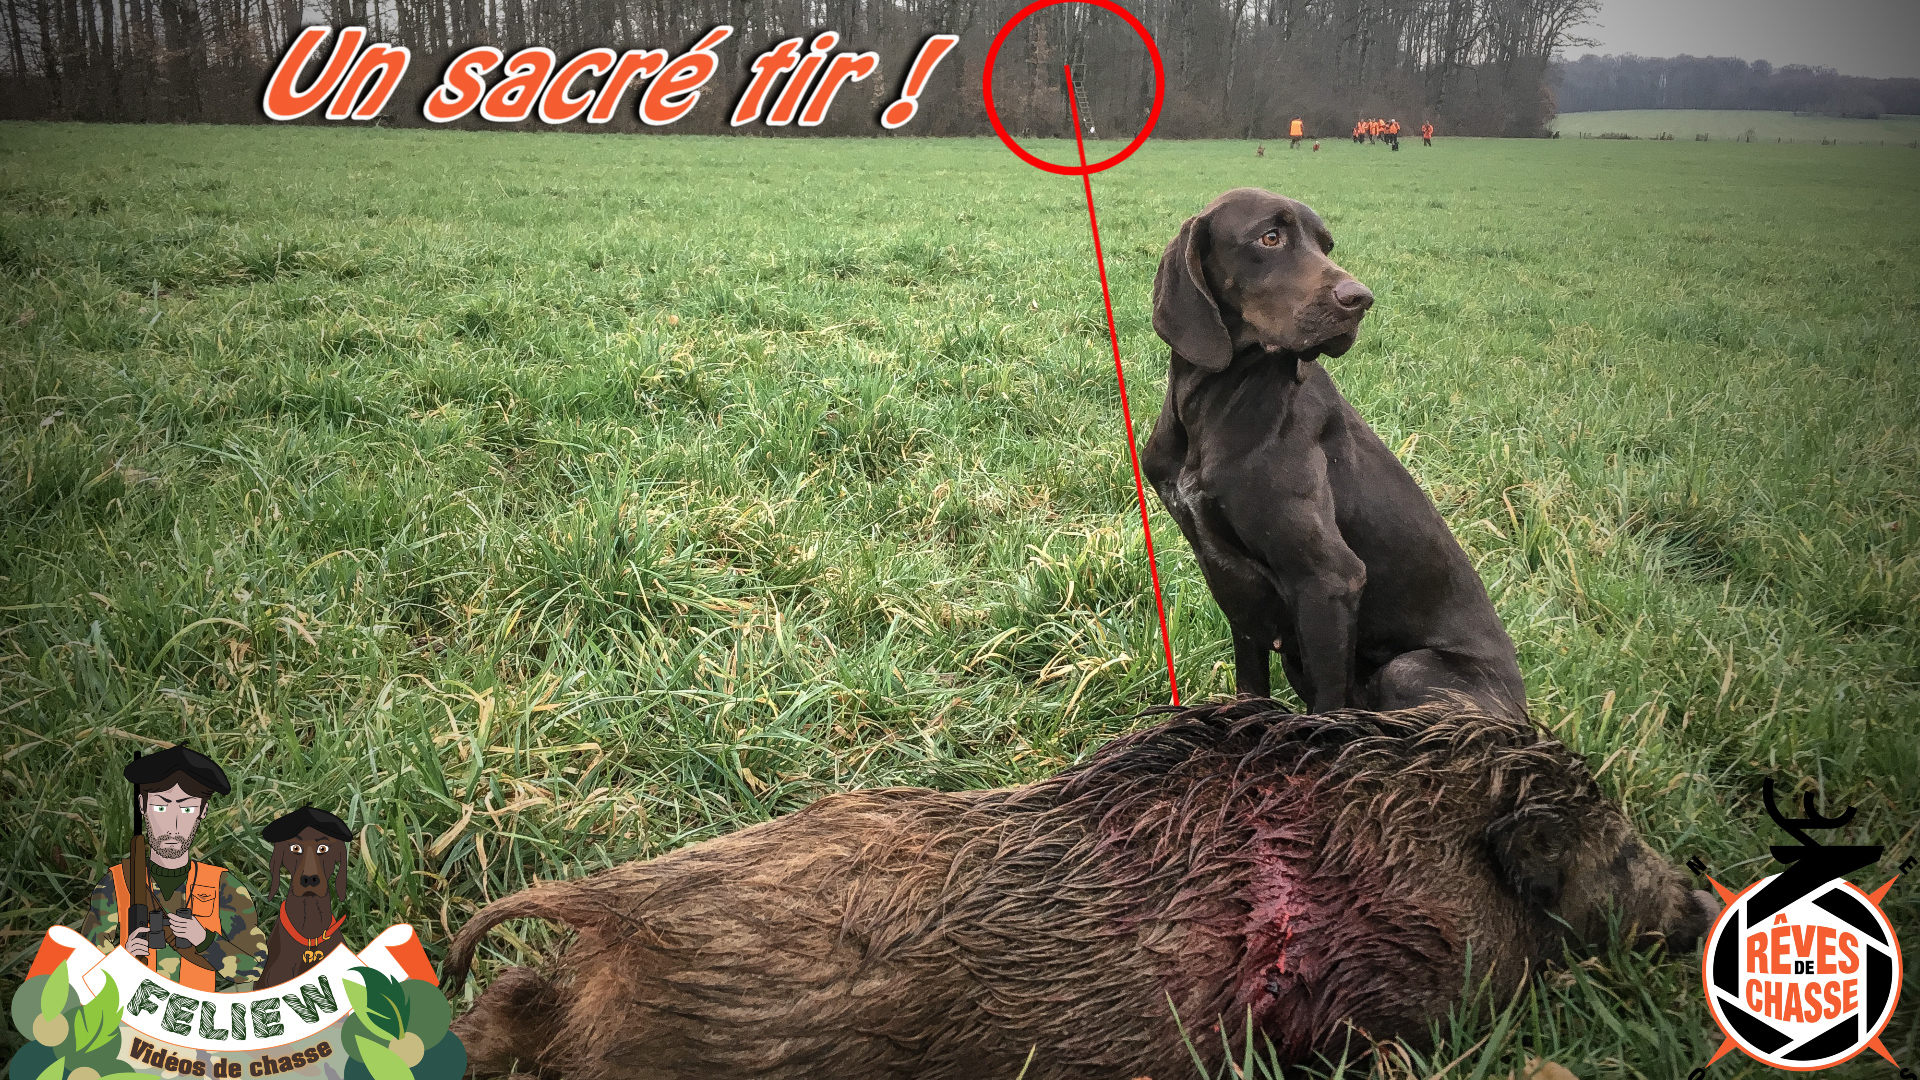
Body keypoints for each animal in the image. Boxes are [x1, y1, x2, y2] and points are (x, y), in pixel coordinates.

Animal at [1136, 187, 1528, 714]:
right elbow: (1250, 689)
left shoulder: (1329, 580)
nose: (1360, 299)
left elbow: (1326, 709)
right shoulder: (1232, 586)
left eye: (1327, 246)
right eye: (1270, 237)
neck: (1214, 405)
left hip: (1407, 670)